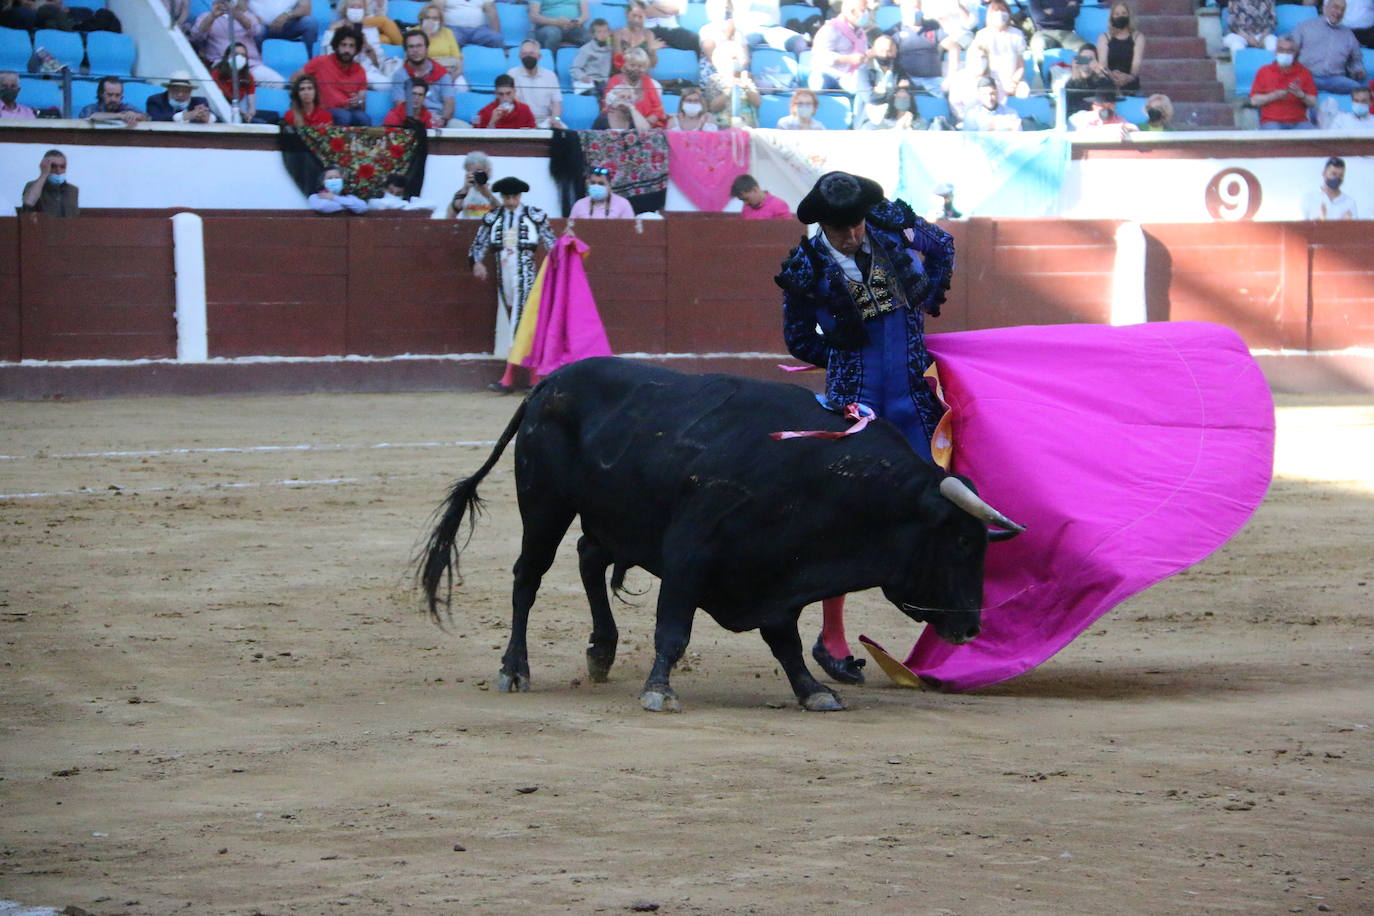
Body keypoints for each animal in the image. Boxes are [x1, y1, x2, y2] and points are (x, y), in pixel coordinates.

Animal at [417, 357, 1022, 708]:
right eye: (960, 542)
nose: (970, 627)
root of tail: (547, 385)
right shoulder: (691, 554)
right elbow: (673, 628)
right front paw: (659, 690)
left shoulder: (778, 575)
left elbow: (785, 640)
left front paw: (813, 691)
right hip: (544, 504)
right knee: (529, 576)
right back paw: (514, 670)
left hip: (612, 515)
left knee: (589, 557)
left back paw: (602, 652)